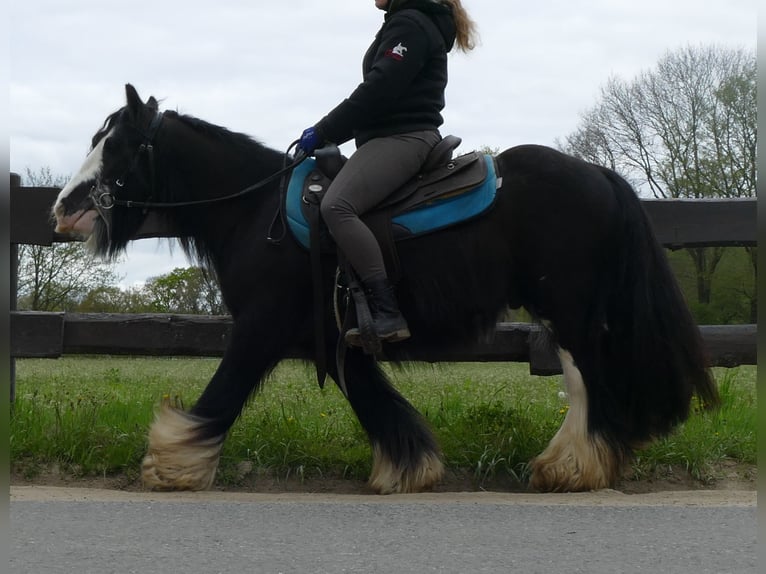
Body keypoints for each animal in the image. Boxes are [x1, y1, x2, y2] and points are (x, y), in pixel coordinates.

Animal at [52, 84, 720, 496]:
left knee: (590, 379)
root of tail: (601, 175)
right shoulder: (331, 337)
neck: (256, 212)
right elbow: (375, 402)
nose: (63, 207)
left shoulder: (262, 327)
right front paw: (411, 468)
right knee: (584, 379)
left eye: (118, 146)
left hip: (571, 310)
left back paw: (574, 466)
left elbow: (223, 393)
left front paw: (172, 464)